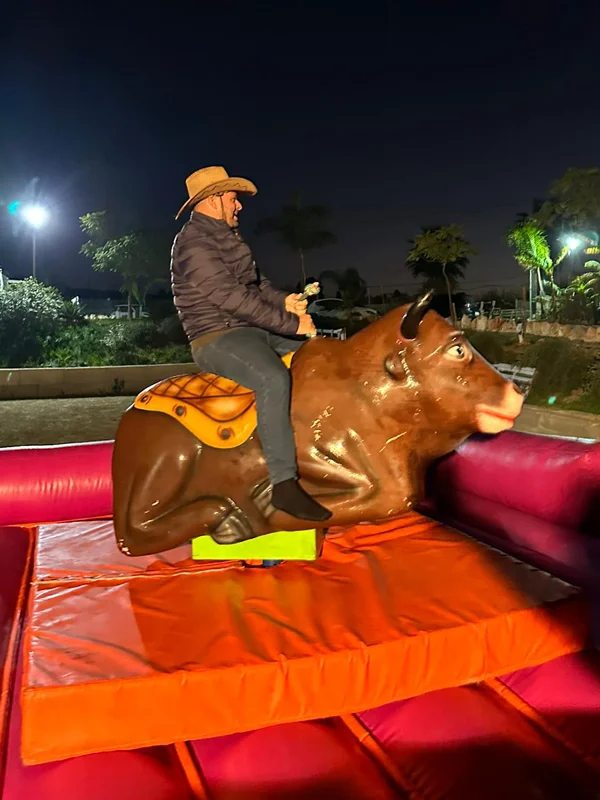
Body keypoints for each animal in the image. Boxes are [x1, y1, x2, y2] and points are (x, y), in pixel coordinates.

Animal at [113, 294, 524, 556]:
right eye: (457, 349)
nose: (517, 392)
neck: (366, 394)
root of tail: (130, 415)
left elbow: (396, 494)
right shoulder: (300, 448)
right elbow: (387, 493)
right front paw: (270, 505)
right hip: (171, 460)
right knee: (131, 534)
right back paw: (227, 520)